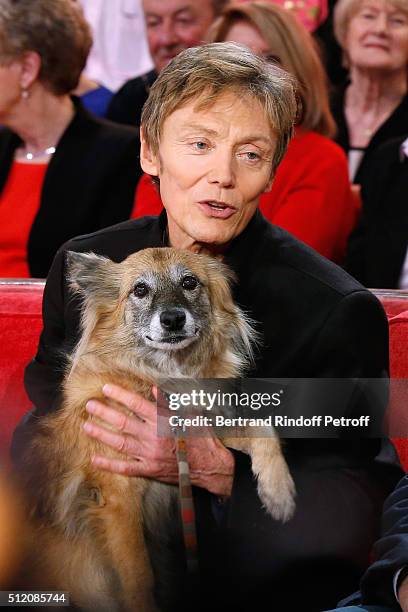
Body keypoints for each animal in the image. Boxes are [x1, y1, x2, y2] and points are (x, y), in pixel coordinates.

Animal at [19, 249, 294, 612]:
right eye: (139, 290)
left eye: (189, 282)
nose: (173, 319)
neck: (164, 376)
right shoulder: (118, 500)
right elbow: (139, 576)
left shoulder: (201, 429)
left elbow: (263, 427)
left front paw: (278, 492)